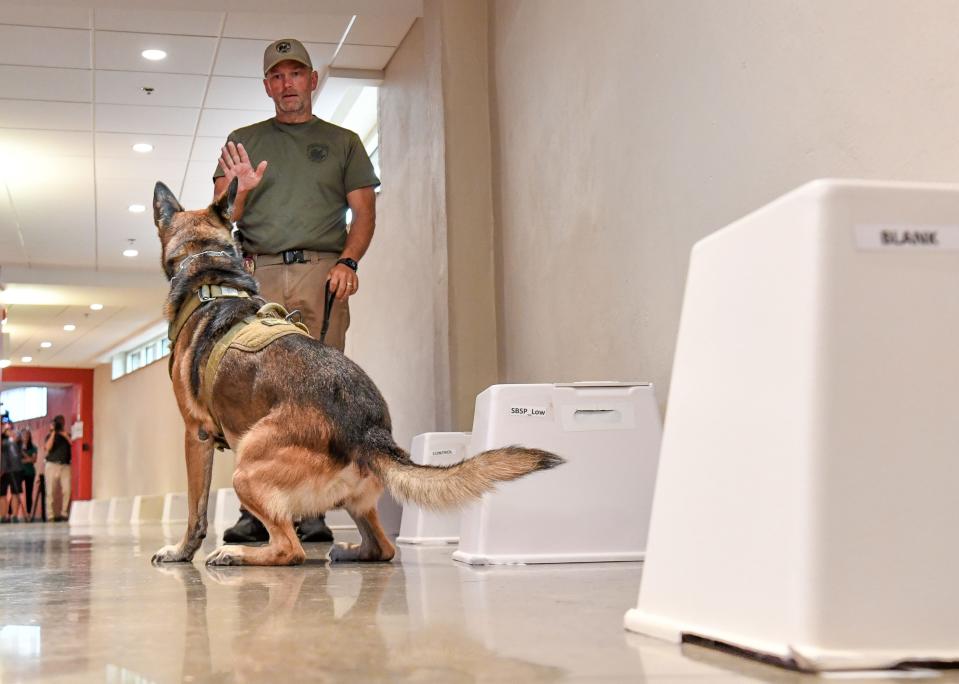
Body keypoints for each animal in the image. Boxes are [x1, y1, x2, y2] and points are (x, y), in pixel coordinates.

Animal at [150, 180, 564, 568]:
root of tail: (367, 431)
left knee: (291, 549)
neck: (208, 267)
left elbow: (196, 510)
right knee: (382, 548)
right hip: (355, 502)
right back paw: (347, 551)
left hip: (245, 470)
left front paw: (181, 551)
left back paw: (236, 554)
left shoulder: (196, 434)